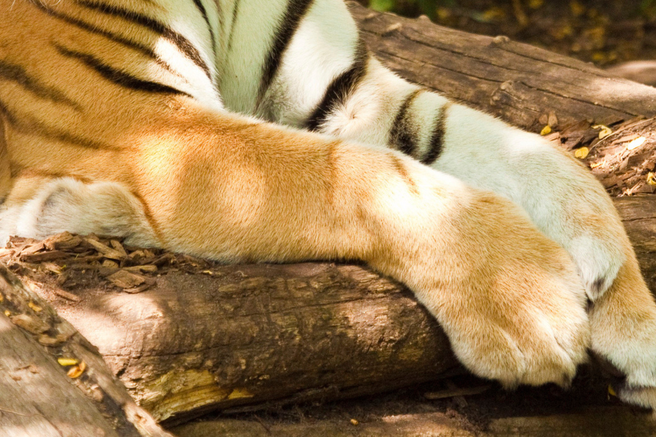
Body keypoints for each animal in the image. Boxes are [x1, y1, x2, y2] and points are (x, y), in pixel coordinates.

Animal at [1, 0, 656, 411]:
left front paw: (634, 320)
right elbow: (352, 171)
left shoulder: (354, 93)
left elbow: (547, 159)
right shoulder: (137, 117)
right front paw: (527, 303)